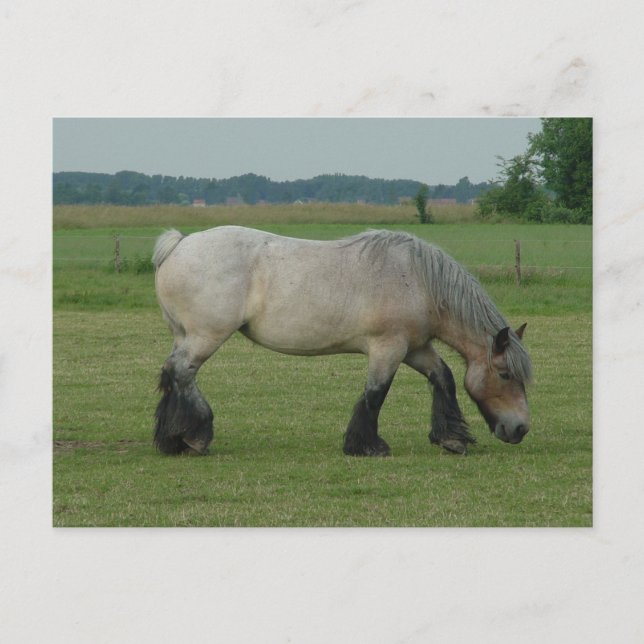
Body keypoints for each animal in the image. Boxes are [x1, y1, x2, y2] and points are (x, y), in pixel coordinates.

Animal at [152, 226, 532, 457]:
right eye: (505, 374)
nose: (520, 428)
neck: (419, 281)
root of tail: (180, 244)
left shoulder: (415, 348)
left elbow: (444, 378)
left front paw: (451, 437)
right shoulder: (388, 349)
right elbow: (375, 394)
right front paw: (367, 446)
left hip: (185, 336)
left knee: (173, 375)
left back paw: (172, 438)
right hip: (206, 337)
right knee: (182, 372)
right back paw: (195, 436)